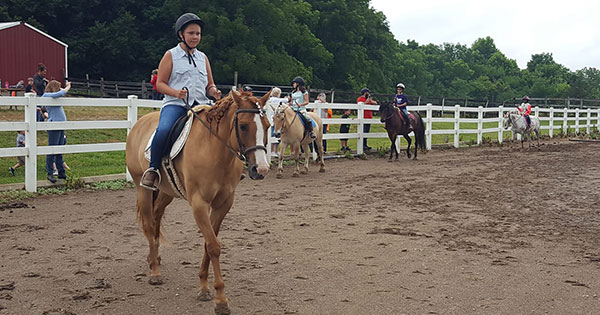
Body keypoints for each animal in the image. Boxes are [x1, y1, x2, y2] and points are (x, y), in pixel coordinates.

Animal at [126, 90, 272, 314]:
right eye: (243, 125)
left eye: (268, 125)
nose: (261, 170)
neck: (214, 150)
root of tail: (139, 123)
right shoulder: (199, 204)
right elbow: (213, 246)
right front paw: (220, 300)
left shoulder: (223, 205)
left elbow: (208, 244)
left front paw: (204, 287)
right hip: (143, 188)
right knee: (149, 225)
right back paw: (155, 273)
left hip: (166, 191)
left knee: (157, 217)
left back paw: (155, 258)